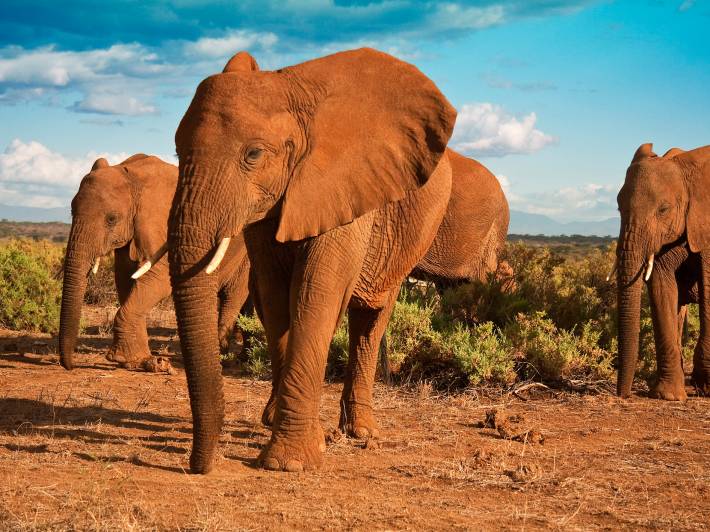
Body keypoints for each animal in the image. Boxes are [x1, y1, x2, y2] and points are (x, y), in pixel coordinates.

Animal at [58, 154, 250, 371]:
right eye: (71, 211)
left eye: (111, 219)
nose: (70, 366)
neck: (134, 177)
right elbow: (124, 279)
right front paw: (139, 361)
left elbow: (159, 278)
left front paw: (128, 359)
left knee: (233, 296)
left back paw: (223, 359)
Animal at [168, 48, 456, 473]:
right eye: (176, 151)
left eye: (254, 154)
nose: (197, 466)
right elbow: (274, 298)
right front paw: (287, 436)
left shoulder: (343, 188)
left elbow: (316, 292)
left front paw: (288, 463)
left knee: (371, 317)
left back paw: (360, 432)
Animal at [616, 143, 710, 400]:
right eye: (618, 208)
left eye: (664, 209)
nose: (622, 395)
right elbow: (660, 285)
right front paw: (668, 396)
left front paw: (706, 387)